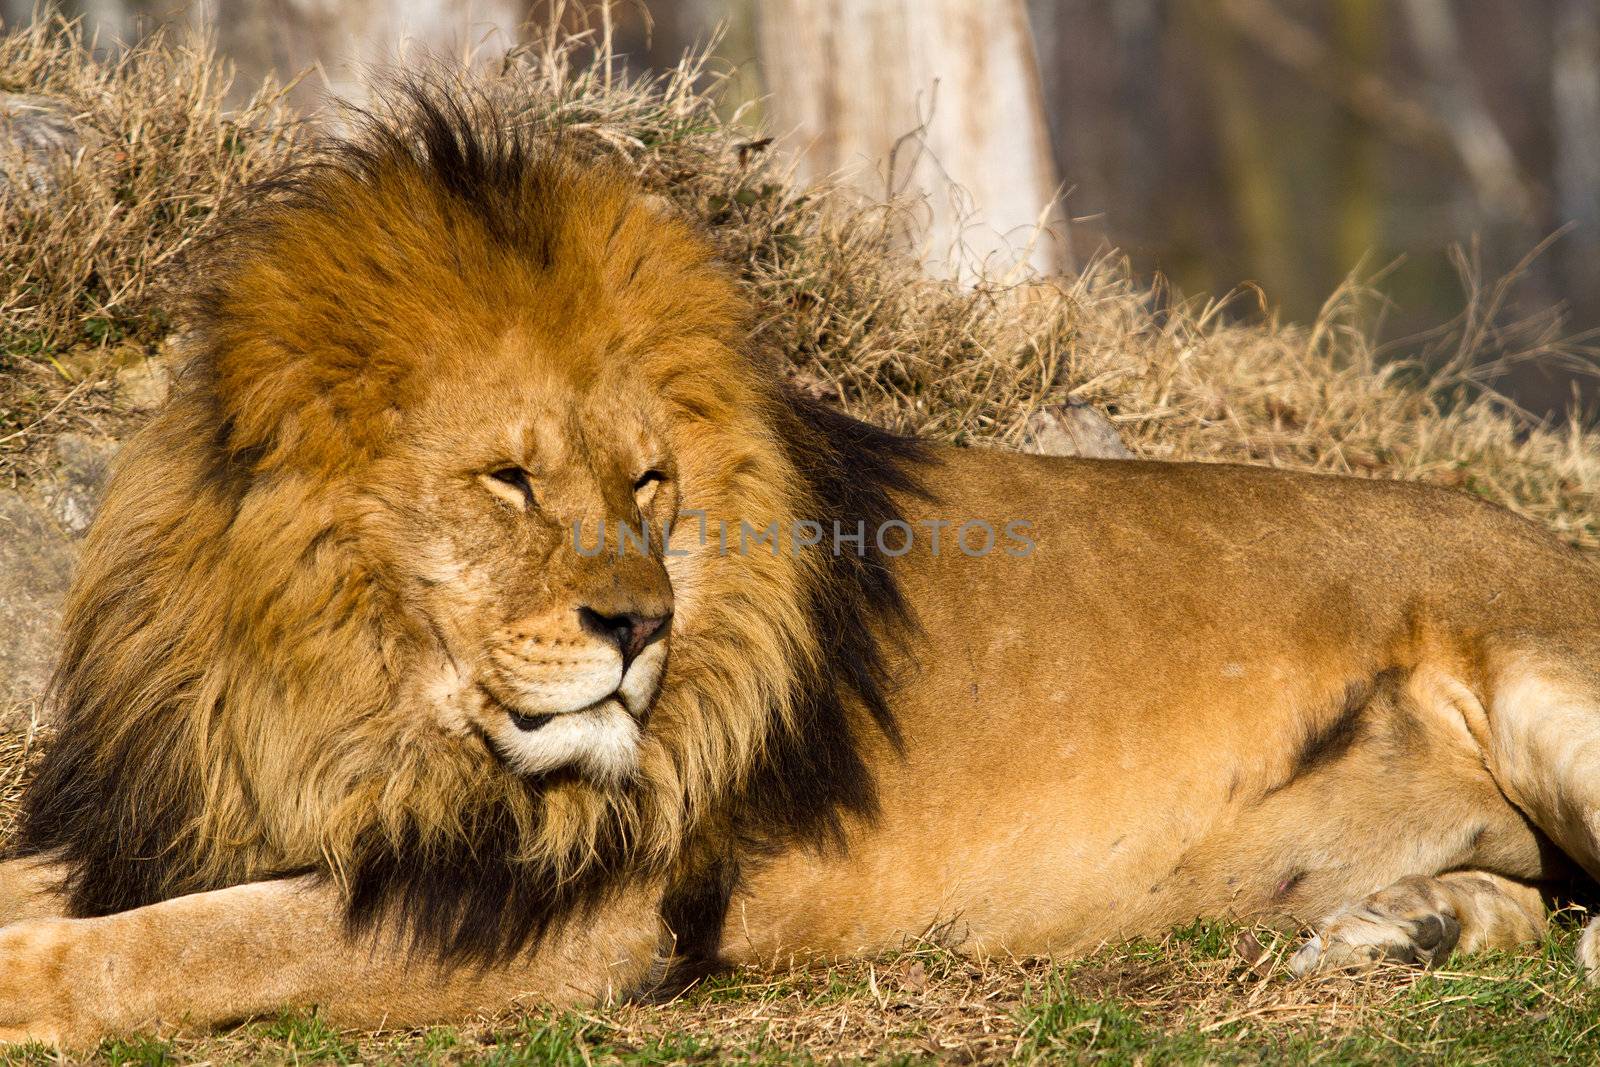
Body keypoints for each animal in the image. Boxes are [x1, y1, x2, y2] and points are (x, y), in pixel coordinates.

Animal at [3, 89, 1600, 1043]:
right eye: (511, 479)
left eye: (647, 481)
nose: (637, 625)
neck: (336, 692)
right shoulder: (180, 810)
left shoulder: (572, 912)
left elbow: (185, 948)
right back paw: (1403, 922)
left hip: (1550, 693)